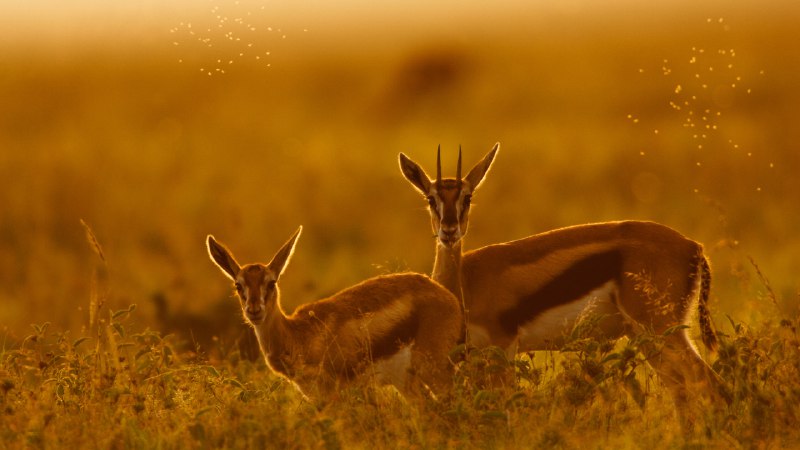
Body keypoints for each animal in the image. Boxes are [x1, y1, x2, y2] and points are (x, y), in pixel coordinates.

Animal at [206, 226, 461, 400]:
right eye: (238, 285)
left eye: (271, 282)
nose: (254, 311)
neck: (298, 335)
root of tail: (445, 294)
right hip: (407, 382)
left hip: (434, 372)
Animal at [398, 143, 728, 414]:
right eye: (431, 198)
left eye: (467, 197)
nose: (449, 231)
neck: (465, 283)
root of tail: (694, 247)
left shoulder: (503, 347)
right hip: (647, 337)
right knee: (683, 390)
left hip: (660, 331)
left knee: (707, 383)